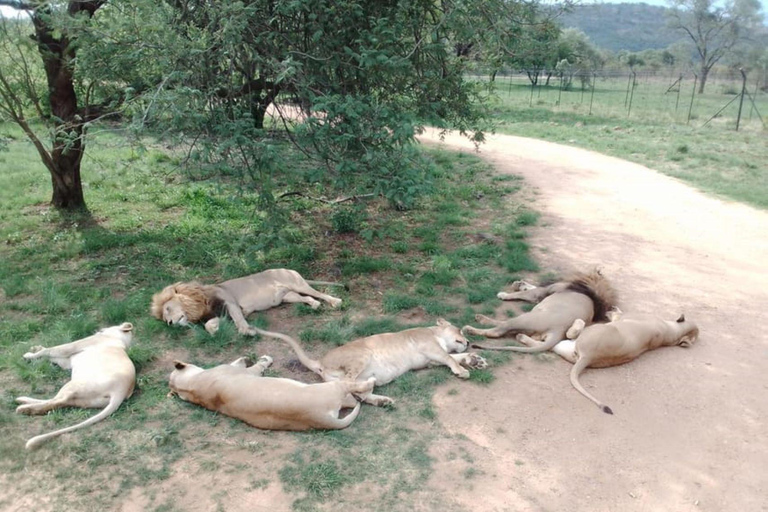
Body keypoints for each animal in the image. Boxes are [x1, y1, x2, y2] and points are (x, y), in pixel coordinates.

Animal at [150, 268, 343, 335]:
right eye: (164, 319)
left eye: (167, 308)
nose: (169, 323)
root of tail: (289, 269)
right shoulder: (222, 313)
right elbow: (209, 325)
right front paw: (215, 330)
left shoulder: (230, 303)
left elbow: (239, 320)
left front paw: (246, 331)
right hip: (288, 296)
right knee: (307, 298)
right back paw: (315, 305)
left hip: (297, 283)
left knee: (317, 293)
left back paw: (335, 301)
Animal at [168, 355, 375, 430]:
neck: (190, 386)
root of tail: (320, 420)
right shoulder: (243, 372)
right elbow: (253, 366)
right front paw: (261, 359)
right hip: (332, 388)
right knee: (351, 390)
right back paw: (370, 382)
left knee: (352, 400)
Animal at [253, 319, 488, 406]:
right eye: (459, 330)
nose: (469, 341)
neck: (434, 333)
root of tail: (320, 361)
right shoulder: (430, 348)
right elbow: (449, 357)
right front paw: (463, 370)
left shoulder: (430, 361)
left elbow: (454, 357)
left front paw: (475, 360)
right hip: (362, 355)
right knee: (347, 383)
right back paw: (372, 388)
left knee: (359, 395)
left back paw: (382, 400)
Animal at [465, 269, 618, 354]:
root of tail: (559, 330)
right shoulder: (543, 293)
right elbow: (530, 289)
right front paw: (520, 284)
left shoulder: (545, 291)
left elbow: (526, 293)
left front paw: (504, 294)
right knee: (504, 325)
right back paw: (482, 319)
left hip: (527, 318)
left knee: (497, 331)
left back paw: (471, 328)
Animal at [514, 309, 699, 414]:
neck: (672, 333)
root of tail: (589, 357)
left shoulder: (623, 316)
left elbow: (617, 313)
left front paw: (611, 310)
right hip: (566, 347)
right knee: (550, 344)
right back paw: (522, 337)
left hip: (592, 331)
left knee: (571, 332)